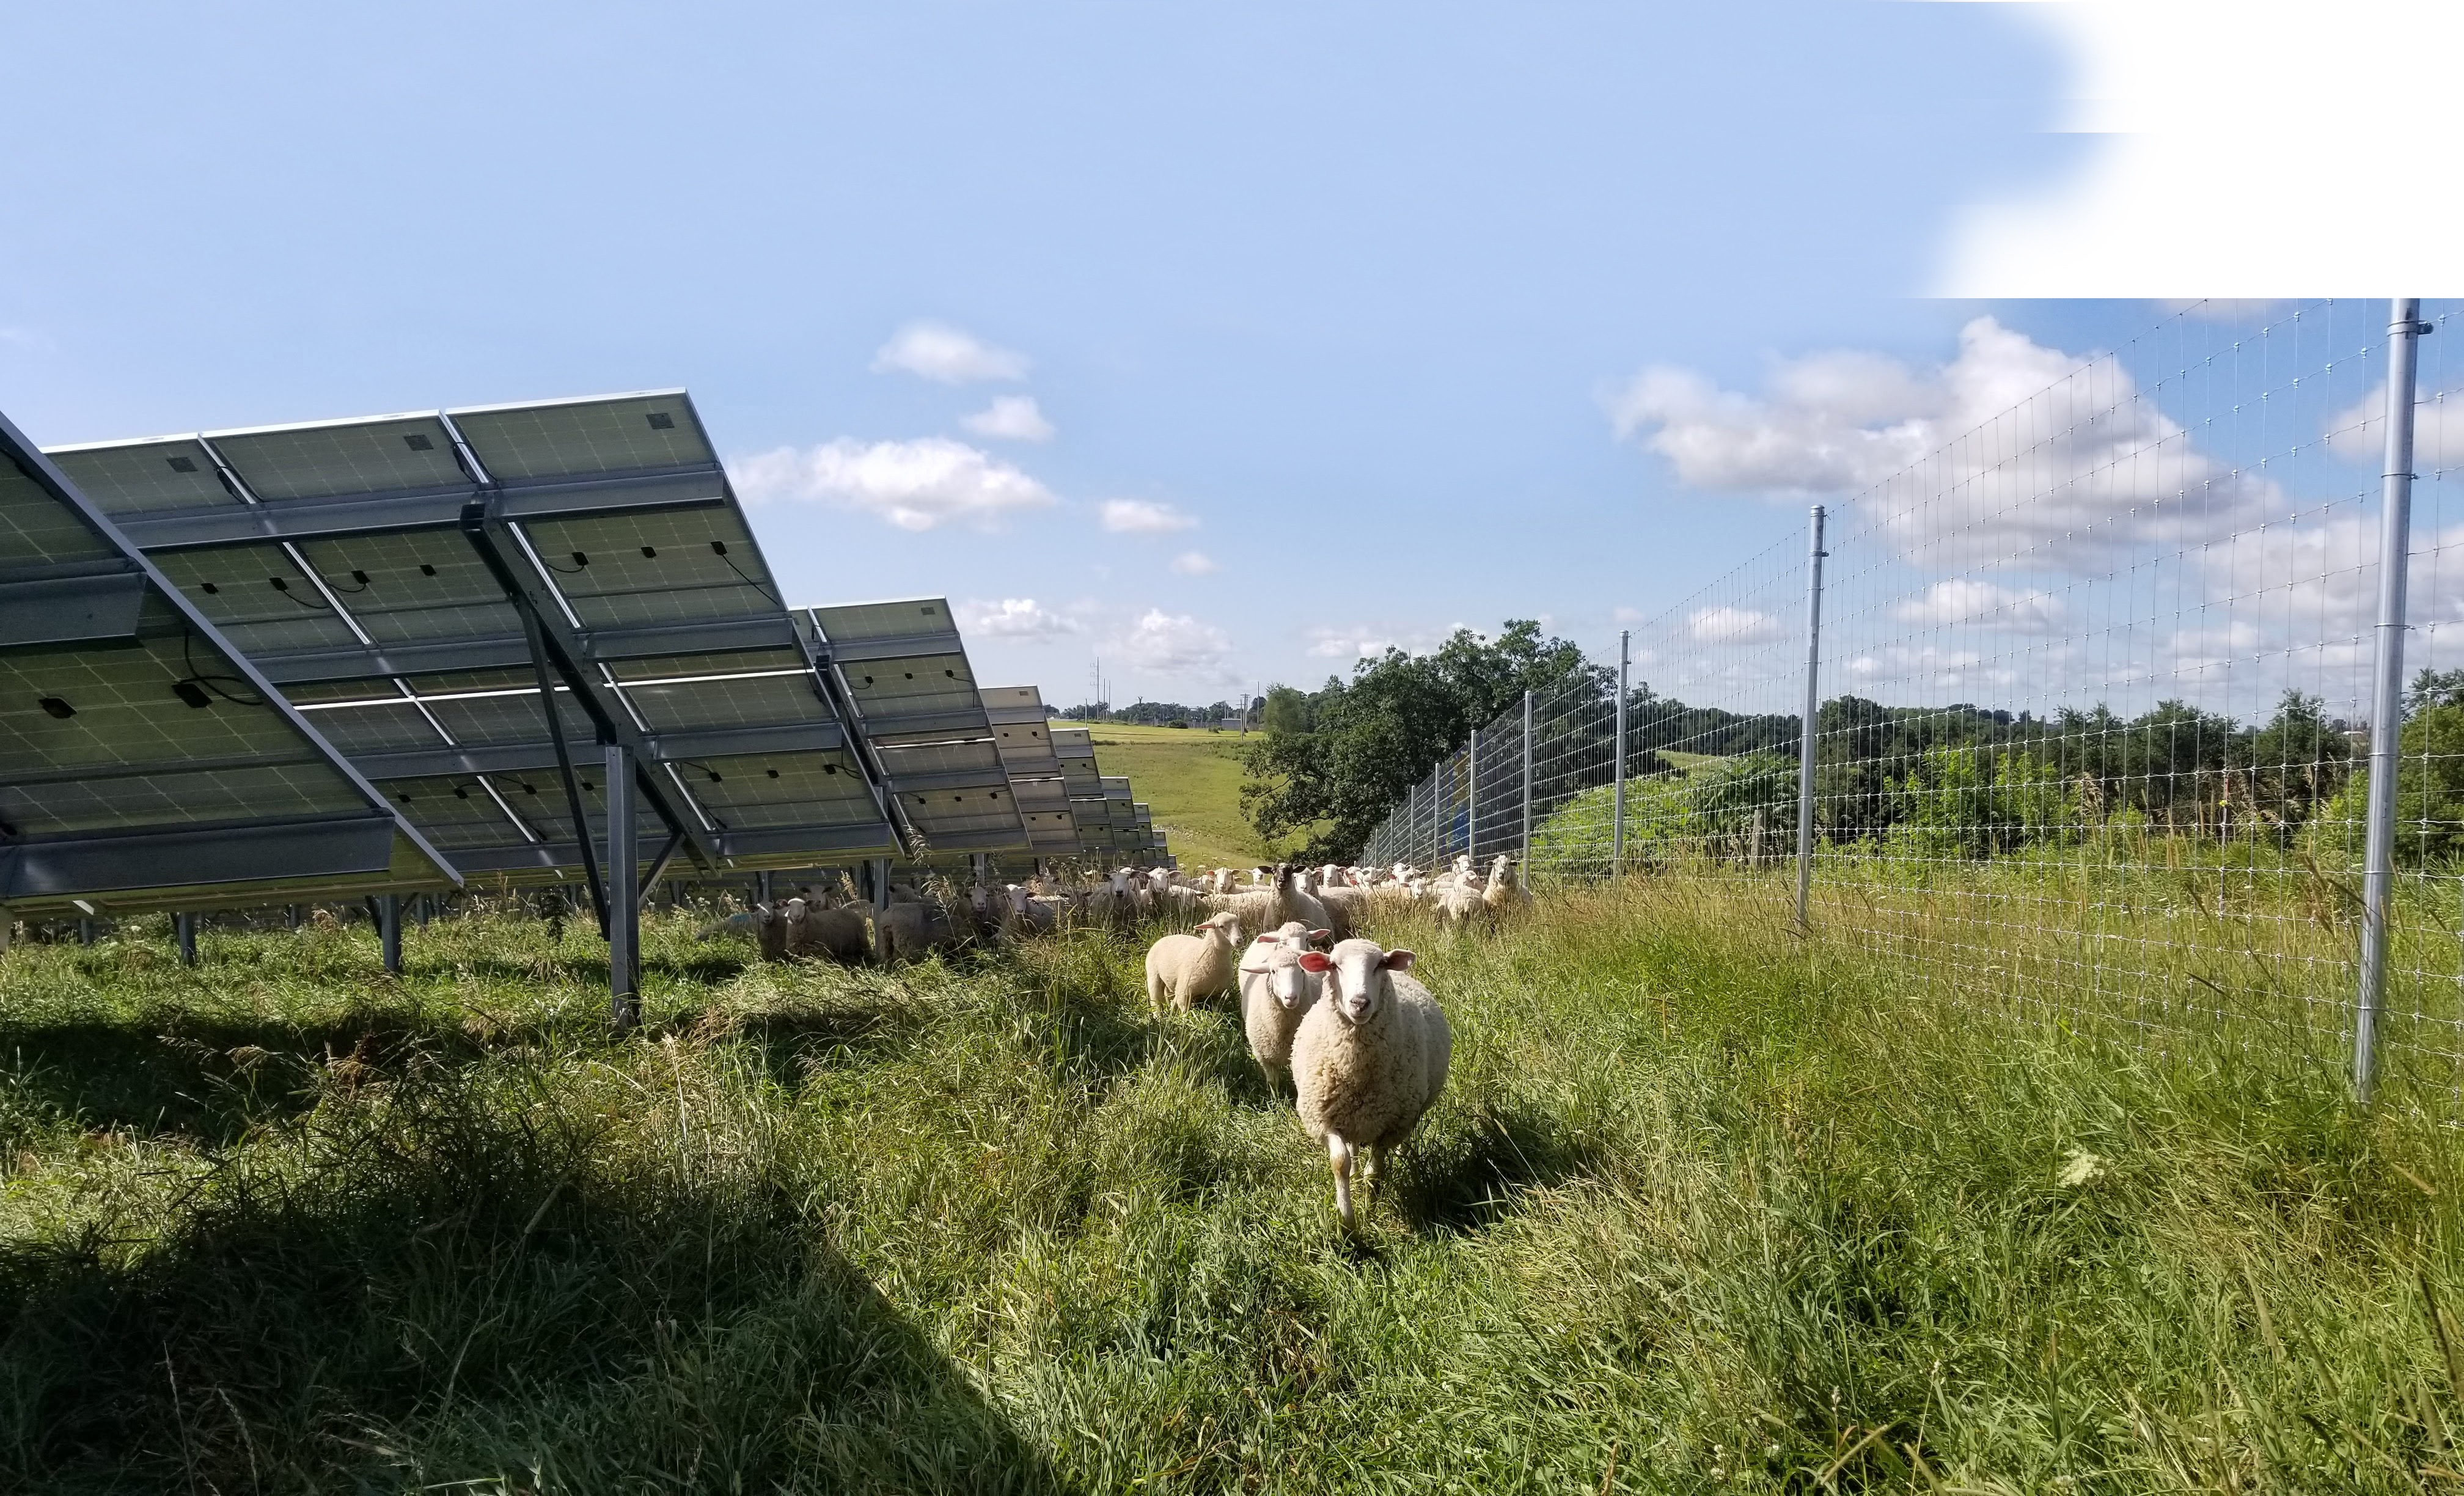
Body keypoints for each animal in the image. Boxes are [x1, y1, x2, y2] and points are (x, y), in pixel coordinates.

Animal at [1143, 911, 1245, 1014]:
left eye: (1238, 924)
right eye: (1221, 926)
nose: (1239, 941)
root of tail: (1163, 938)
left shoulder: (1218, 995)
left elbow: (1216, 1011)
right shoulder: (1184, 992)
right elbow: (1185, 1012)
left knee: (1170, 998)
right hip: (1154, 977)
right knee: (1156, 1002)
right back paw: (1158, 1015)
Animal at [1289, 938, 1452, 1228]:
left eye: (1380, 965)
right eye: (1334, 965)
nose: (1360, 1003)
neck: (1357, 1072)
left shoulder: (1392, 1125)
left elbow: (1374, 1173)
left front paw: (1371, 1209)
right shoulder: (1324, 1120)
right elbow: (1340, 1163)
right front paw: (1347, 1223)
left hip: (1410, 1110)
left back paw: (1402, 1156)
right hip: (1353, 1118)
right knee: (1353, 1149)